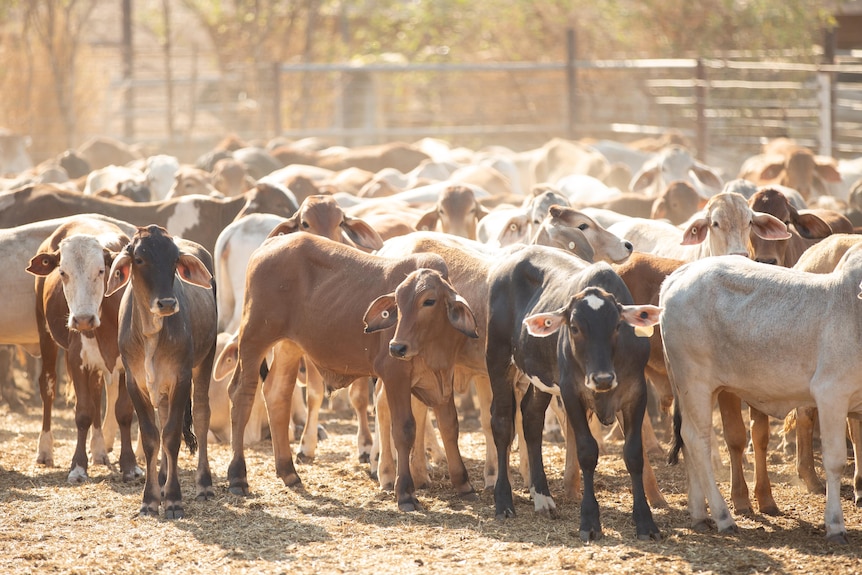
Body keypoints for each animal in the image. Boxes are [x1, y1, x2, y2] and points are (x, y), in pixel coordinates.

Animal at [105, 227, 219, 520]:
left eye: (174, 260)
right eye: (140, 259)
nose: (167, 303)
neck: (150, 332)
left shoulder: (181, 378)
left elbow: (171, 436)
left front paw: (174, 500)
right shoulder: (135, 383)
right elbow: (150, 437)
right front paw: (150, 499)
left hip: (205, 360)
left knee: (201, 416)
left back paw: (204, 484)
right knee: (166, 417)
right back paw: (164, 477)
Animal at [223, 232, 480, 510]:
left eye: (429, 301)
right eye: (398, 304)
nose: (396, 346)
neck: (431, 347)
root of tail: (272, 242)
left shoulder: (444, 376)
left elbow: (450, 425)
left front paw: (464, 484)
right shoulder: (395, 376)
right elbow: (404, 429)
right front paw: (405, 492)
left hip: (288, 345)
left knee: (277, 394)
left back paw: (288, 472)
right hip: (254, 337)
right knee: (242, 394)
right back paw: (238, 476)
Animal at [664, 249, 862, 544]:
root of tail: (678, 274)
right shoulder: (831, 395)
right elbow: (835, 461)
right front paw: (835, 525)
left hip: (700, 389)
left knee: (688, 440)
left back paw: (699, 514)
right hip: (695, 382)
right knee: (697, 440)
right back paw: (723, 517)